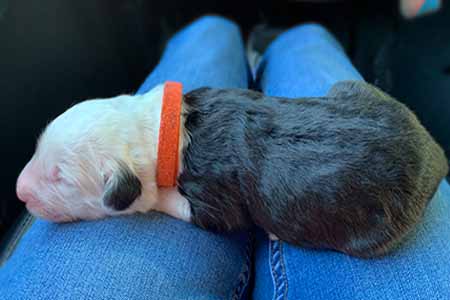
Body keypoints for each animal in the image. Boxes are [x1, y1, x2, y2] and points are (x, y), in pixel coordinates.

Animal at [15, 80, 448, 258]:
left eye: (61, 178)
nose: (19, 191)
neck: (161, 129)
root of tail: (436, 153)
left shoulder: (214, 200)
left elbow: (183, 206)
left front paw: (155, 197)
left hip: (375, 231)